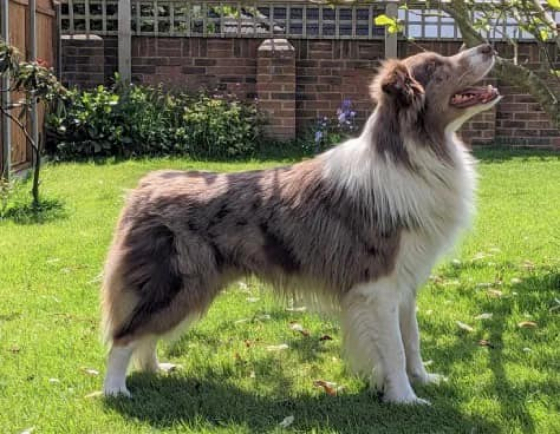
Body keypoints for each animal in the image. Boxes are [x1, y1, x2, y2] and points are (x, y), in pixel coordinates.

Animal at [100, 44, 498, 404]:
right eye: (436, 65)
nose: (490, 46)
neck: (414, 154)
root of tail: (144, 187)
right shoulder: (378, 285)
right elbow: (395, 350)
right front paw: (405, 399)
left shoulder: (406, 282)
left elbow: (412, 339)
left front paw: (424, 380)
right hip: (177, 283)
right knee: (125, 335)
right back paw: (115, 390)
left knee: (146, 336)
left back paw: (156, 370)